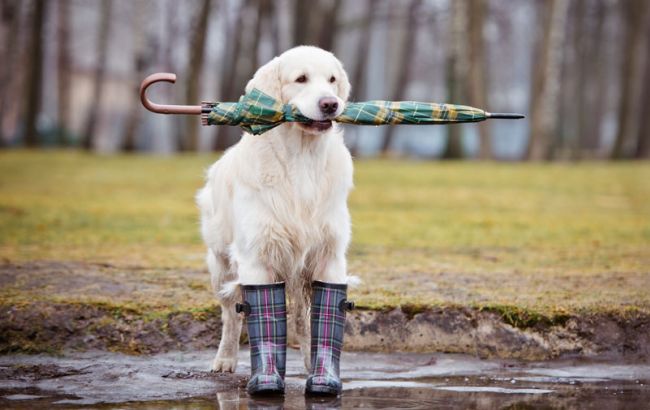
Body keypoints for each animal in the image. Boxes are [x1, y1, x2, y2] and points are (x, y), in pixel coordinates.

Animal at [196, 46, 354, 374]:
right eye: (301, 79)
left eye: (332, 79)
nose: (330, 104)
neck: (302, 159)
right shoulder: (256, 257)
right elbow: (255, 315)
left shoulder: (329, 255)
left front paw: (321, 370)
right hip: (220, 264)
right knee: (231, 315)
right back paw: (225, 359)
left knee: (302, 319)